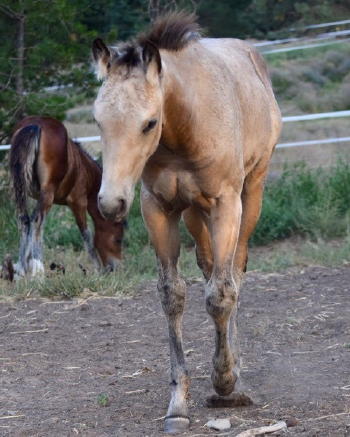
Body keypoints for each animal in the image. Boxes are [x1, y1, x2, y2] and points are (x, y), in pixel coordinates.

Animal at [9, 114, 124, 274]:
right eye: (118, 239)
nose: (116, 267)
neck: (84, 170)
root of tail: (35, 124)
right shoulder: (78, 203)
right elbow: (86, 234)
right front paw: (97, 269)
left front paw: (23, 266)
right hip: (47, 194)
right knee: (36, 221)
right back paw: (38, 269)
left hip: (20, 188)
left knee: (24, 220)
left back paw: (22, 268)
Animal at [92, 11, 282, 430]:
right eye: (97, 121)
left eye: (149, 123)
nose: (111, 202)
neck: (183, 130)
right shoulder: (158, 208)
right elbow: (173, 295)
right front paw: (178, 402)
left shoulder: (226, 204)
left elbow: (221, 294)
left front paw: (226, 383)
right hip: (196, 213)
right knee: (211, 267)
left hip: (251, 193)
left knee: (234, 273)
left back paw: (233, 374)